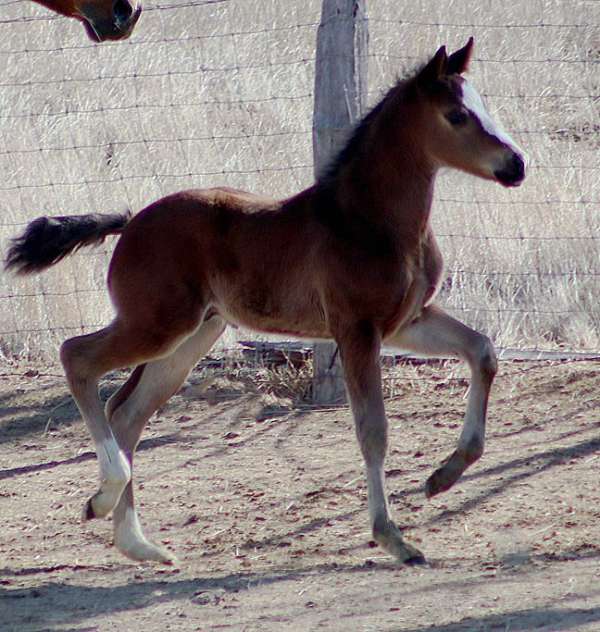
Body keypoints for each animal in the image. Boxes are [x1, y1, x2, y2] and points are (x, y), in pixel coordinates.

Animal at [8, 38, 524, 564]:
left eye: (483, 105)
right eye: (457, 115)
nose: (516, 165)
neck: (367, 221)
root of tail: (131, 223)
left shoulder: (406, 321)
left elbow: (482, 351)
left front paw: (443, 477)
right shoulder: (357, 329)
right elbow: (372, 430)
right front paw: (393, 538)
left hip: (191, 337)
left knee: (127, 412)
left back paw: (138, 543)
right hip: (156, 324)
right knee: (77, 357)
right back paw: (104, 496)